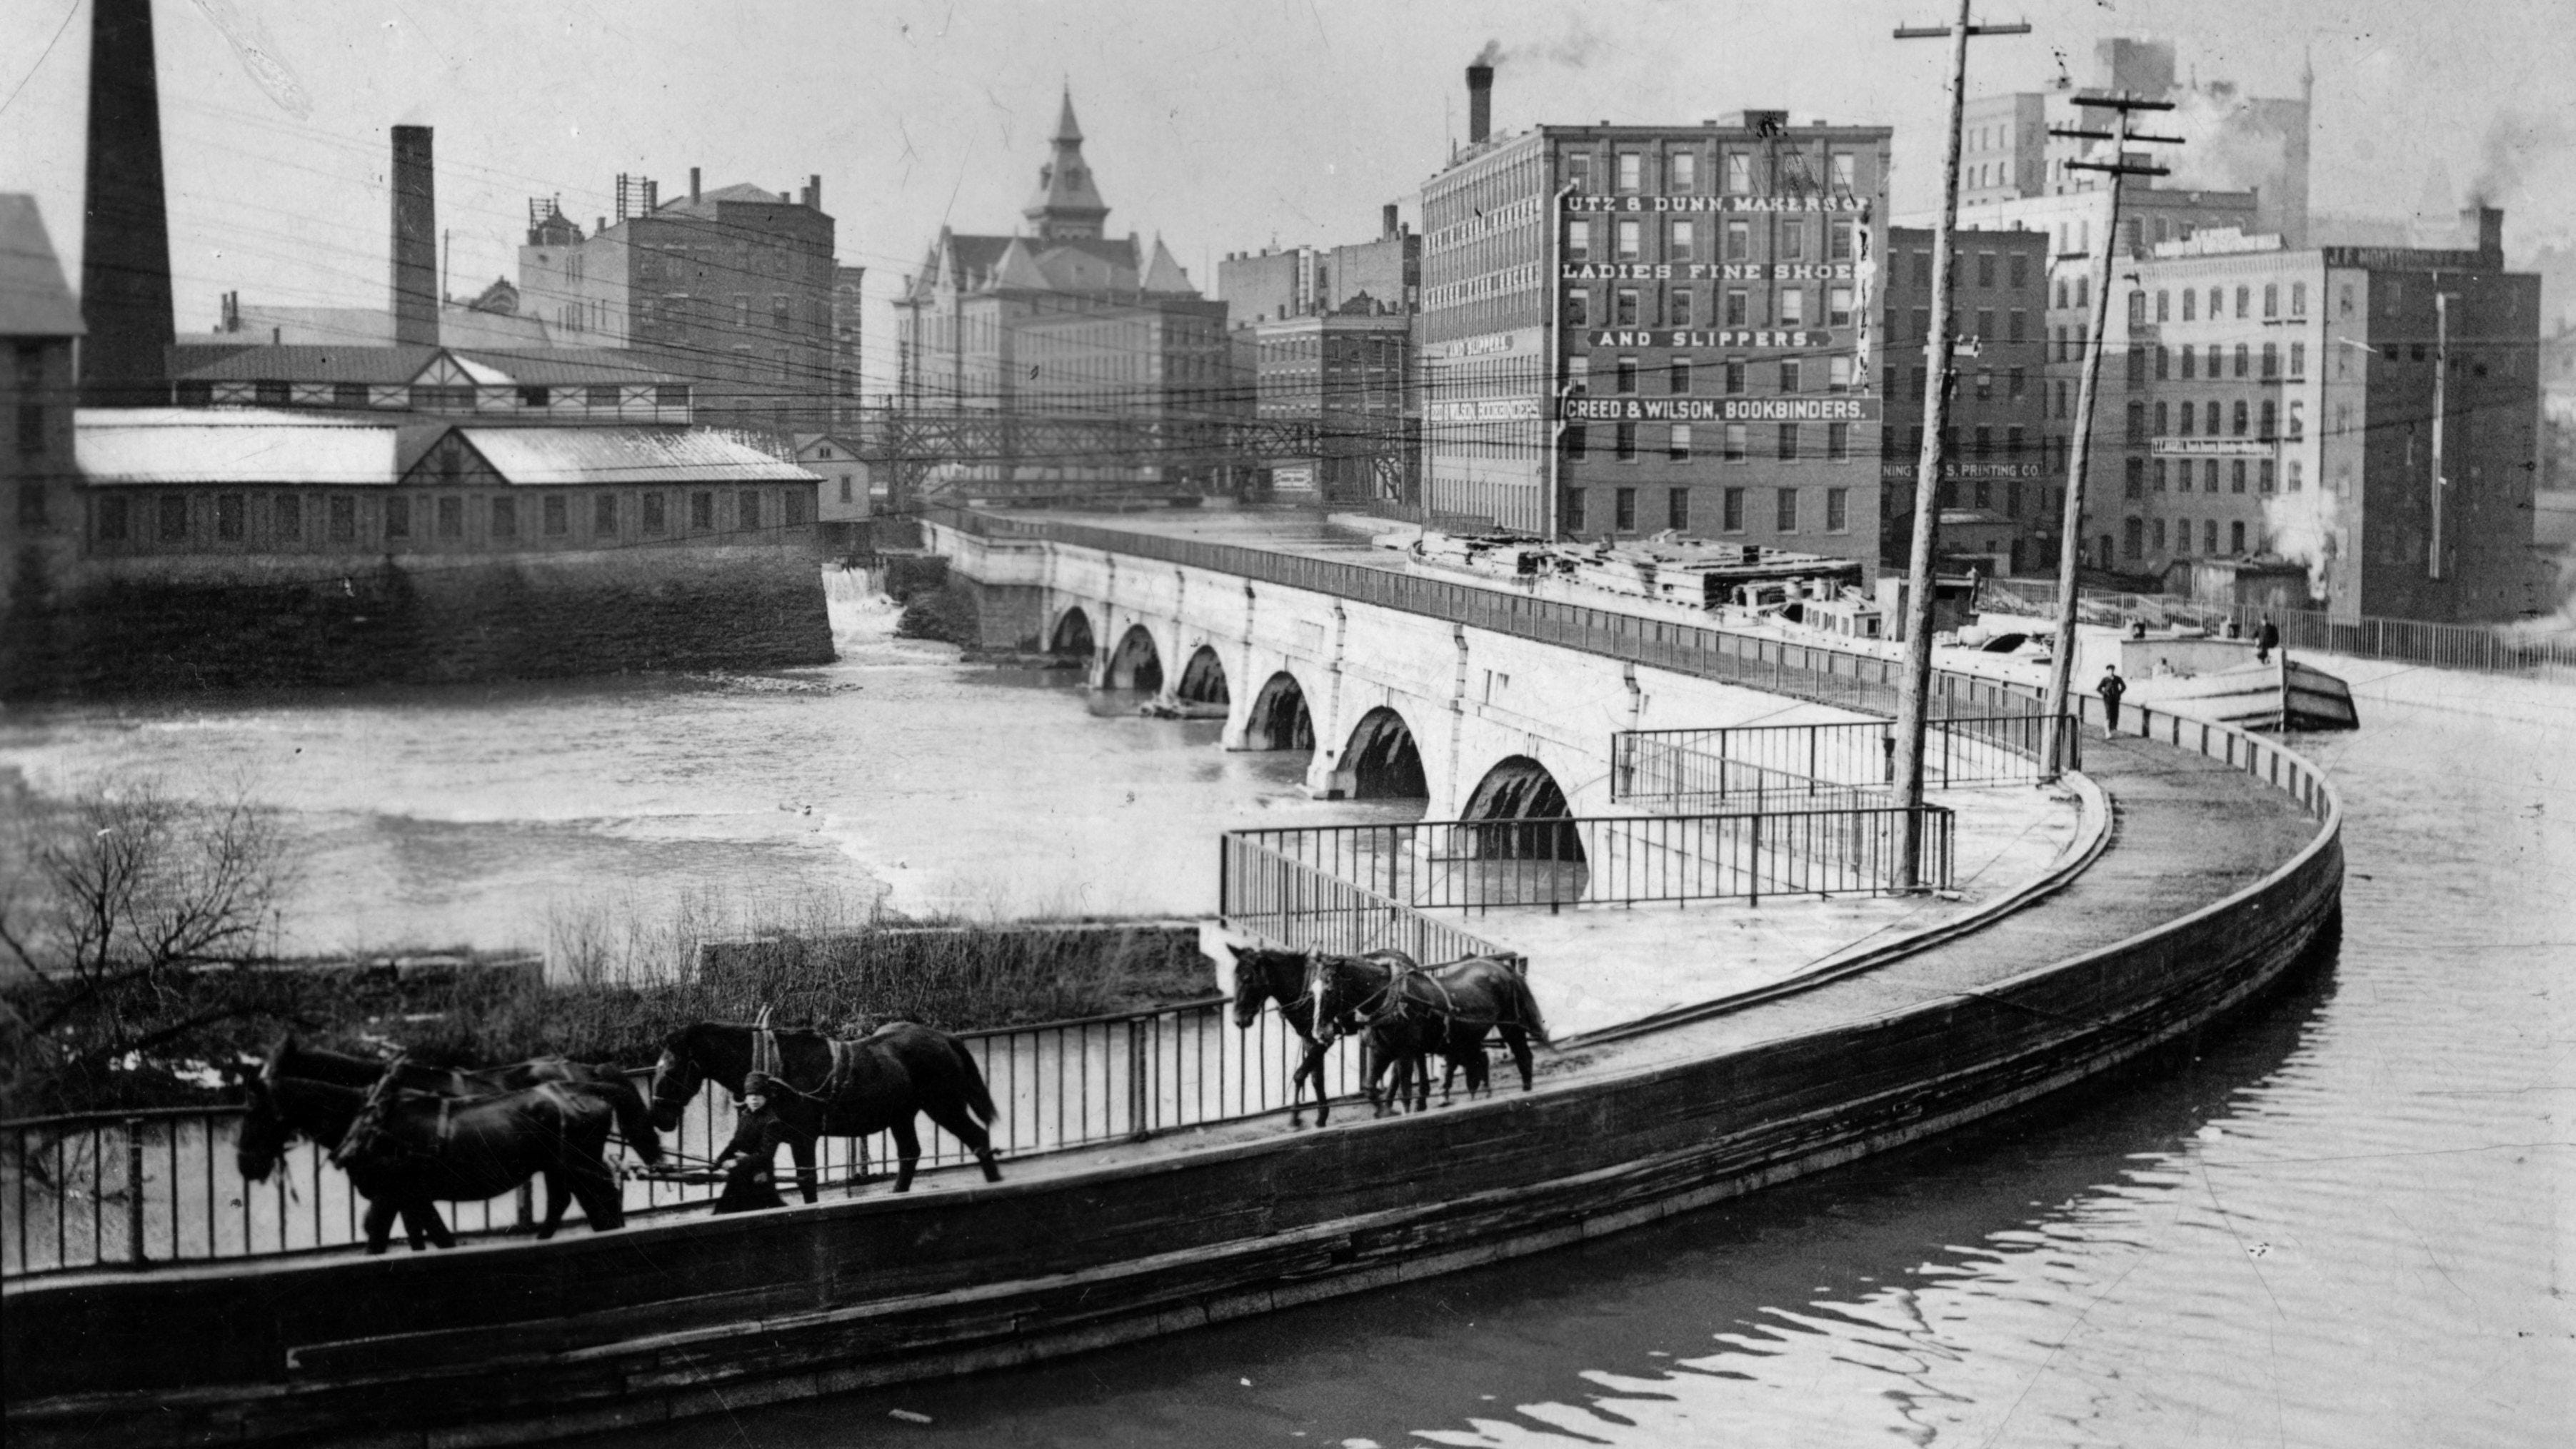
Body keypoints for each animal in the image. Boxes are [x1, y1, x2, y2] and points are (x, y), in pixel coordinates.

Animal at [648, 1013, 999, 1194]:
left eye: (672, 1069)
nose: (658, 1117)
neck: (777, 1071)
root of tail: (945, 1038)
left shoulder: (803, 1137)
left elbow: (807, 1181)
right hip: (902, 1115)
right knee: (910, 1154)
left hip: (944, 1105)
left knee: (978, 1138)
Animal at [1221, 942, 1422, 1132]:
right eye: (1233, 977)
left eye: (1248, 978)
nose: (1238, 1020)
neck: (1303, 988)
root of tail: (1407, 960)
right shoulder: (1309, 1038)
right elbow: (1315, 1078)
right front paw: (1320, 1117)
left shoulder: (1324, 1039)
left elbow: (1300, 1074)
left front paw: (1295, 1119)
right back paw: (1390, 1103)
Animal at [1308, 957, 1545, 1117]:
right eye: (1312, 991)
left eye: (1329, 990)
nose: (1320, 1032)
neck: (1391, 998)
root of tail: (1504, 968)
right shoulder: (1381, 1051)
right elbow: (1370, 1088)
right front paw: (1386, 1112)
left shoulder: (1405, 1052)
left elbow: (1405, 1088)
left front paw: (1405, 1111)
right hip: (1470, 1037)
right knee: (1479, 1060)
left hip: (1511, 1027)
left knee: (1524, 1057)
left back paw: (1526, 1093)